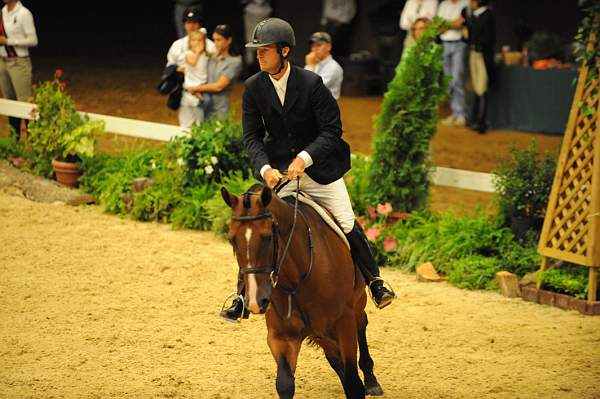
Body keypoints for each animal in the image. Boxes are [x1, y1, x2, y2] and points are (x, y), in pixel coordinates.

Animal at [221, 183, 384, 398]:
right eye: (232, 240)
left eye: (267, 237)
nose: (256, 302)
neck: (298, 278)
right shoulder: (282, 336)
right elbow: (285, 384)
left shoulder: (344, 323)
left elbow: (352, 384)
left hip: (356, 303)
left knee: (361, 323)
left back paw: (372, 380)